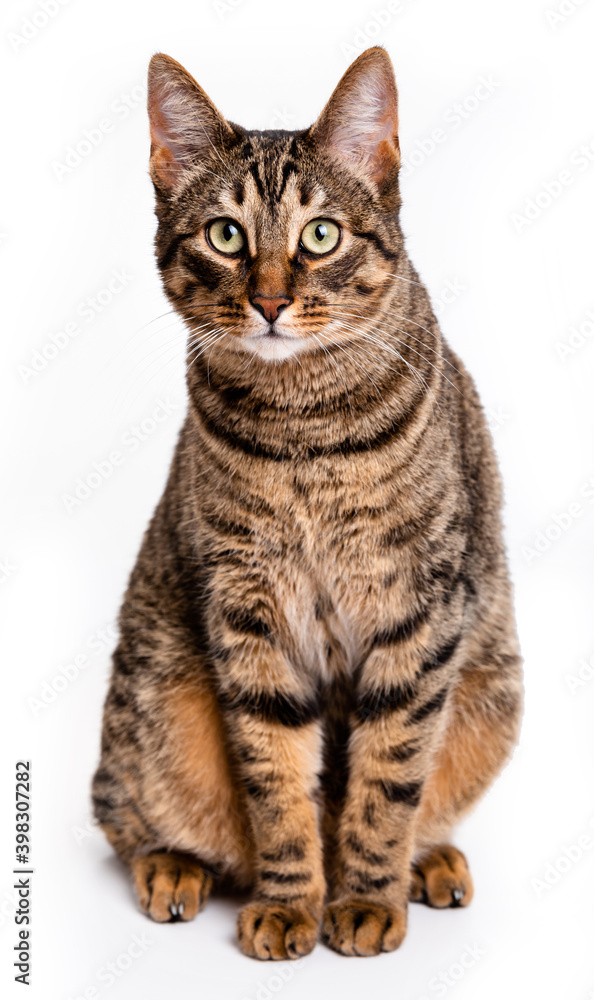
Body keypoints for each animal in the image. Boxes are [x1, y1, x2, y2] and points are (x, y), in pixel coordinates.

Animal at [90, 48, 520, 960]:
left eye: (320, 235)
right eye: (226, 235)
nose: (270, 300)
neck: (304, 431)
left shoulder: (417, 609)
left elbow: (388, 778)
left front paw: (366, 898)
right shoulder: (248, 614)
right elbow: (277, 780)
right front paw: (292, 903)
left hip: (494, 691)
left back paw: (429, 864)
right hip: (154, 697)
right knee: (125, 813)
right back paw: (173, 867)